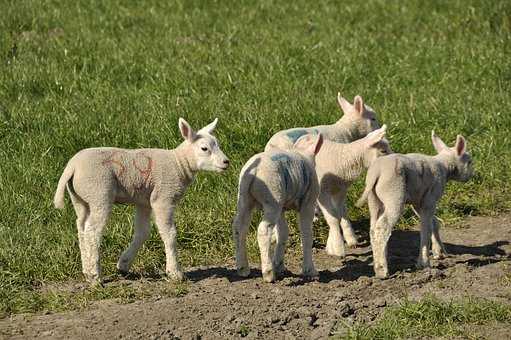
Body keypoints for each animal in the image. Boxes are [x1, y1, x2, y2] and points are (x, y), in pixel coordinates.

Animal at [53, 118, 228, 282]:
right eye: (204, 148)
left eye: (218, 144)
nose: (226, 162)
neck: (179, 163)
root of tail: (72, 166)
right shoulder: (163, 197)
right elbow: (169, 233)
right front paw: (175, 272)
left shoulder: (144, 202)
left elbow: (142, 233)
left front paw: (123, 265)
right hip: (99, 192)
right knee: (92, 231)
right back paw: (95, 276)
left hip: (80, 198)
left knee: (81, 227)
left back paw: (86, 269)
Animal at [233, 134, 324, 282]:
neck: (302, 153)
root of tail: (253, 171)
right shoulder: (308, 203)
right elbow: (306, 234)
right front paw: (310, 271)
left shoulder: (282, 206)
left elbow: (283, 232)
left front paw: (280, 266)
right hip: (272, 198)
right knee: (263, 230)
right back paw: (268, 273)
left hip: (244, 198)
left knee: (239, 227)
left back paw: (243, 268)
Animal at [316, 125, 392, 258]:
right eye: (383, 151)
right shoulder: (323, 193)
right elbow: (333, 218)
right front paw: (338, 248)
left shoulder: (340, 191)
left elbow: (339, 215)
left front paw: (336, 244)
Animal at [358, 131, 474, 278]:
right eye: (469, 162)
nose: (471, 176)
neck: (443, 165)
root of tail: (376, 173)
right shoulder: (430, 199)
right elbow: (426, 228)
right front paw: (424, 263)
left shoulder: (418, 201)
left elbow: (433, 223)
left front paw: (439, 252)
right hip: (394, 194)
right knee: (382, 227)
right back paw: (382, 270)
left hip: (374, 200)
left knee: (374, 228)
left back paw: (379, 261)